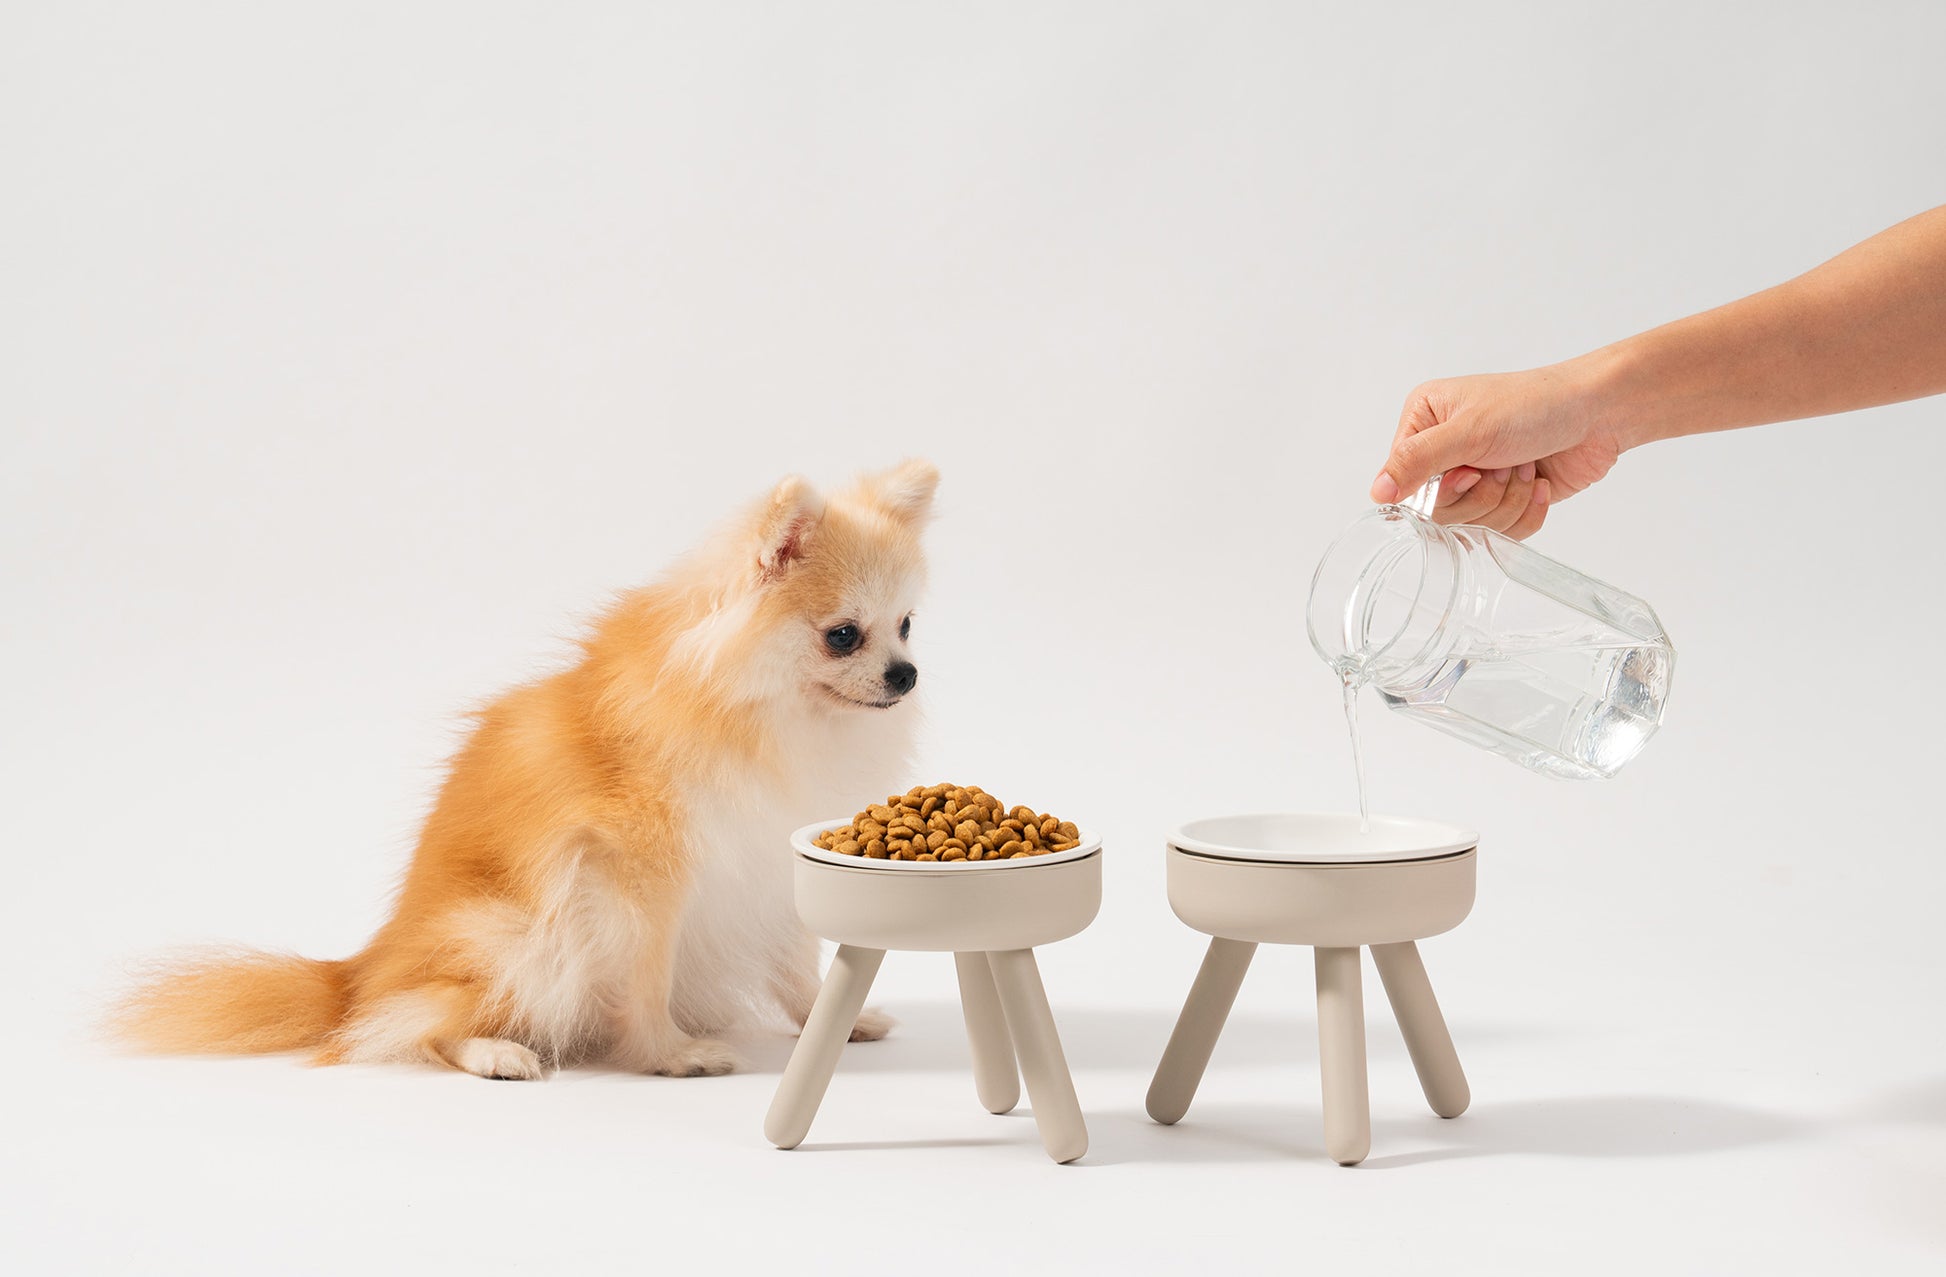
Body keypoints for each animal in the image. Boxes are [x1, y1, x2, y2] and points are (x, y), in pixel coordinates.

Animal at [115, 459, 941, 1074]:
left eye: (906, 625)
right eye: (843, 634)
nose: (906, 675)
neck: (766, 713)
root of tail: (354, 973)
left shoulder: (767, 865)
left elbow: (799, 965)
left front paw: (833, 1019)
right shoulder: (640, 881)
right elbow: (647, 978)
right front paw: (669, 1054)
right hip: (514, 934)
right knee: (412, 1022)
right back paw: (496, 1053)